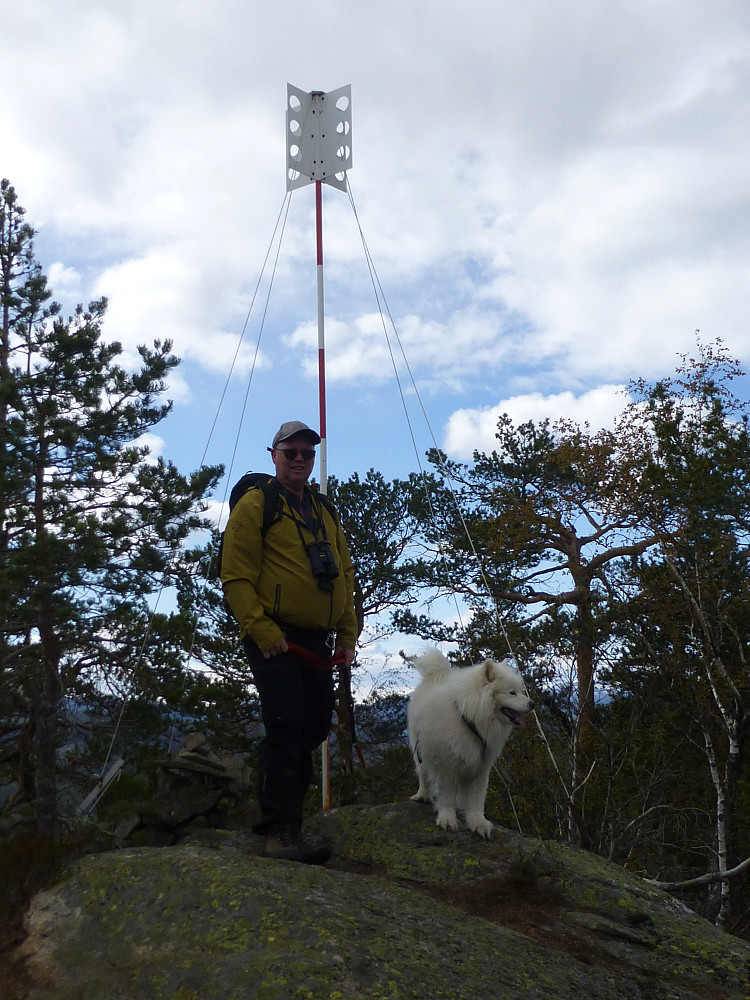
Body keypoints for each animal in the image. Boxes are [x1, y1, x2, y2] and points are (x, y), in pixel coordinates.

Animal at [412, 648, 536, 836]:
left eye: (522, 691)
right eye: (512, 693)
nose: (533, 704)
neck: (470, 718)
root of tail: (436, 677)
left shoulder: (481, 767)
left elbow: (477, 800)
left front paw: (478, 822)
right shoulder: (446, 766)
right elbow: (446, 796)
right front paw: (447, 819)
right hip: (418, 748)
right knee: (422, 773)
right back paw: (422, 795)